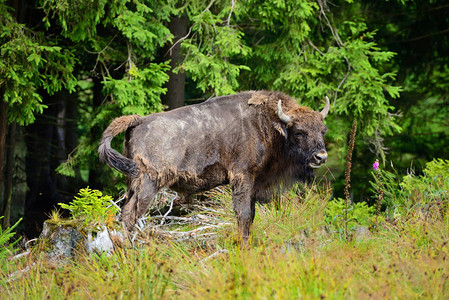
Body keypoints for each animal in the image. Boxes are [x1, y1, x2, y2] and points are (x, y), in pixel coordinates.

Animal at [99, 90, 328, 243]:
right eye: (299, 132)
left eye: (322, 130)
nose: (321, 156)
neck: (269, 125)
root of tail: (138, 121)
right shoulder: (243, 177)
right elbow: (243, 214)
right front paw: (243, 245)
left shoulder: (253, 184)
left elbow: (251, 215)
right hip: (148, 183)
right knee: (130, 215)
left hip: (132, 183)